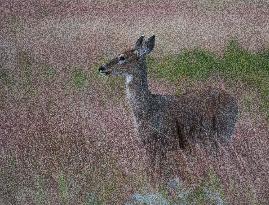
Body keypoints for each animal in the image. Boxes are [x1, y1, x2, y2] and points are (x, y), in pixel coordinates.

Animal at [98, 35, 237, 183]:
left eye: (122, 57)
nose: (102, 67)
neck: (147, 109)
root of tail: (235, 102)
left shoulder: (166, 141)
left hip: (223, 131)